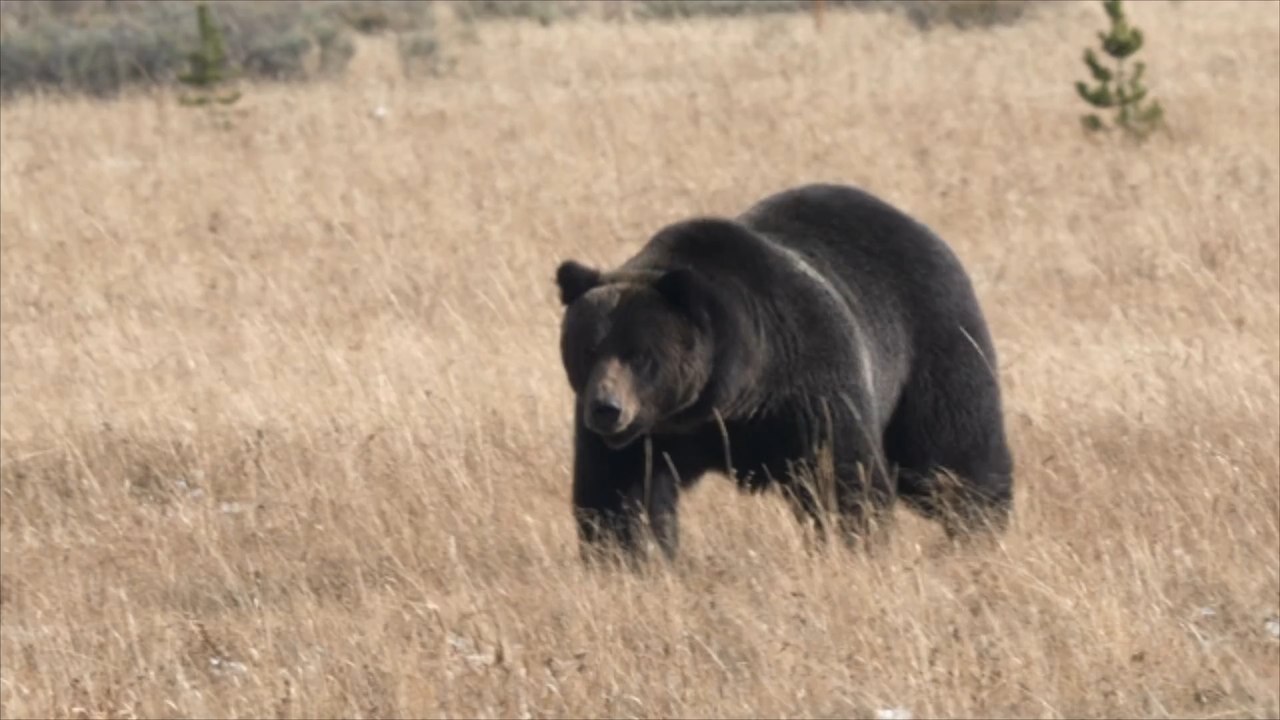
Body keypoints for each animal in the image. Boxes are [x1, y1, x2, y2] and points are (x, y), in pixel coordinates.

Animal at [553, 182, 1013, 564]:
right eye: (587, 350)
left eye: (640, 355)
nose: (606, 409)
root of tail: (918, 227)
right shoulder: (650, 435)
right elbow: (620, 496)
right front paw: (630, 559)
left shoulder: (808, 383)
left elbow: (842, 477)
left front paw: (851, 544)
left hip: (930, 345)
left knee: (949, 456)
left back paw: (981, 524)